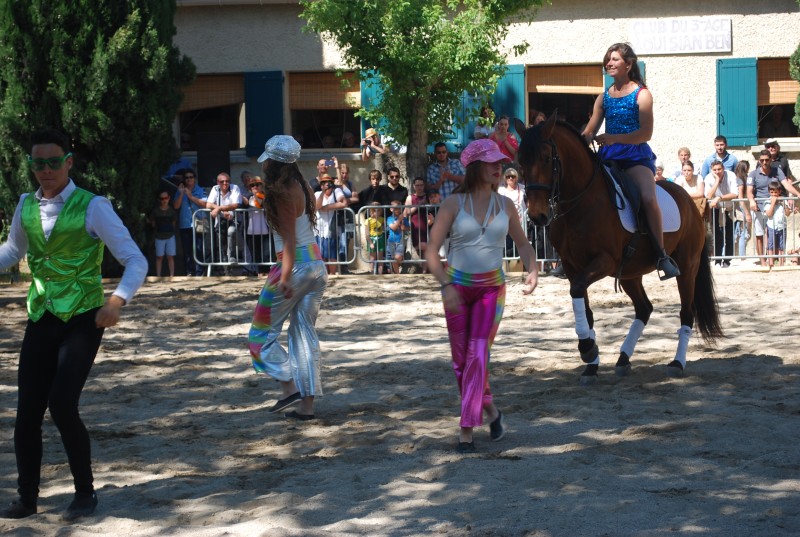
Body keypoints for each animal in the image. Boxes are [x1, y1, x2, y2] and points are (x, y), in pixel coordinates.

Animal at [516, 115, 720, 384]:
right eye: (521, 161)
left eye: (546, 158)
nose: (537, 216)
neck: (580, 202)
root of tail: (689, 200)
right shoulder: (572, 266)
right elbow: (583, 306)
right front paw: (591, 361)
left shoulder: (605, 261)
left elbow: (577, 290)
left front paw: (587, 349)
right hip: (631, 273)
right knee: (644, 308)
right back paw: (623, 358)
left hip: (687, 268)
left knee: (687, 312)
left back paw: (677, 363)